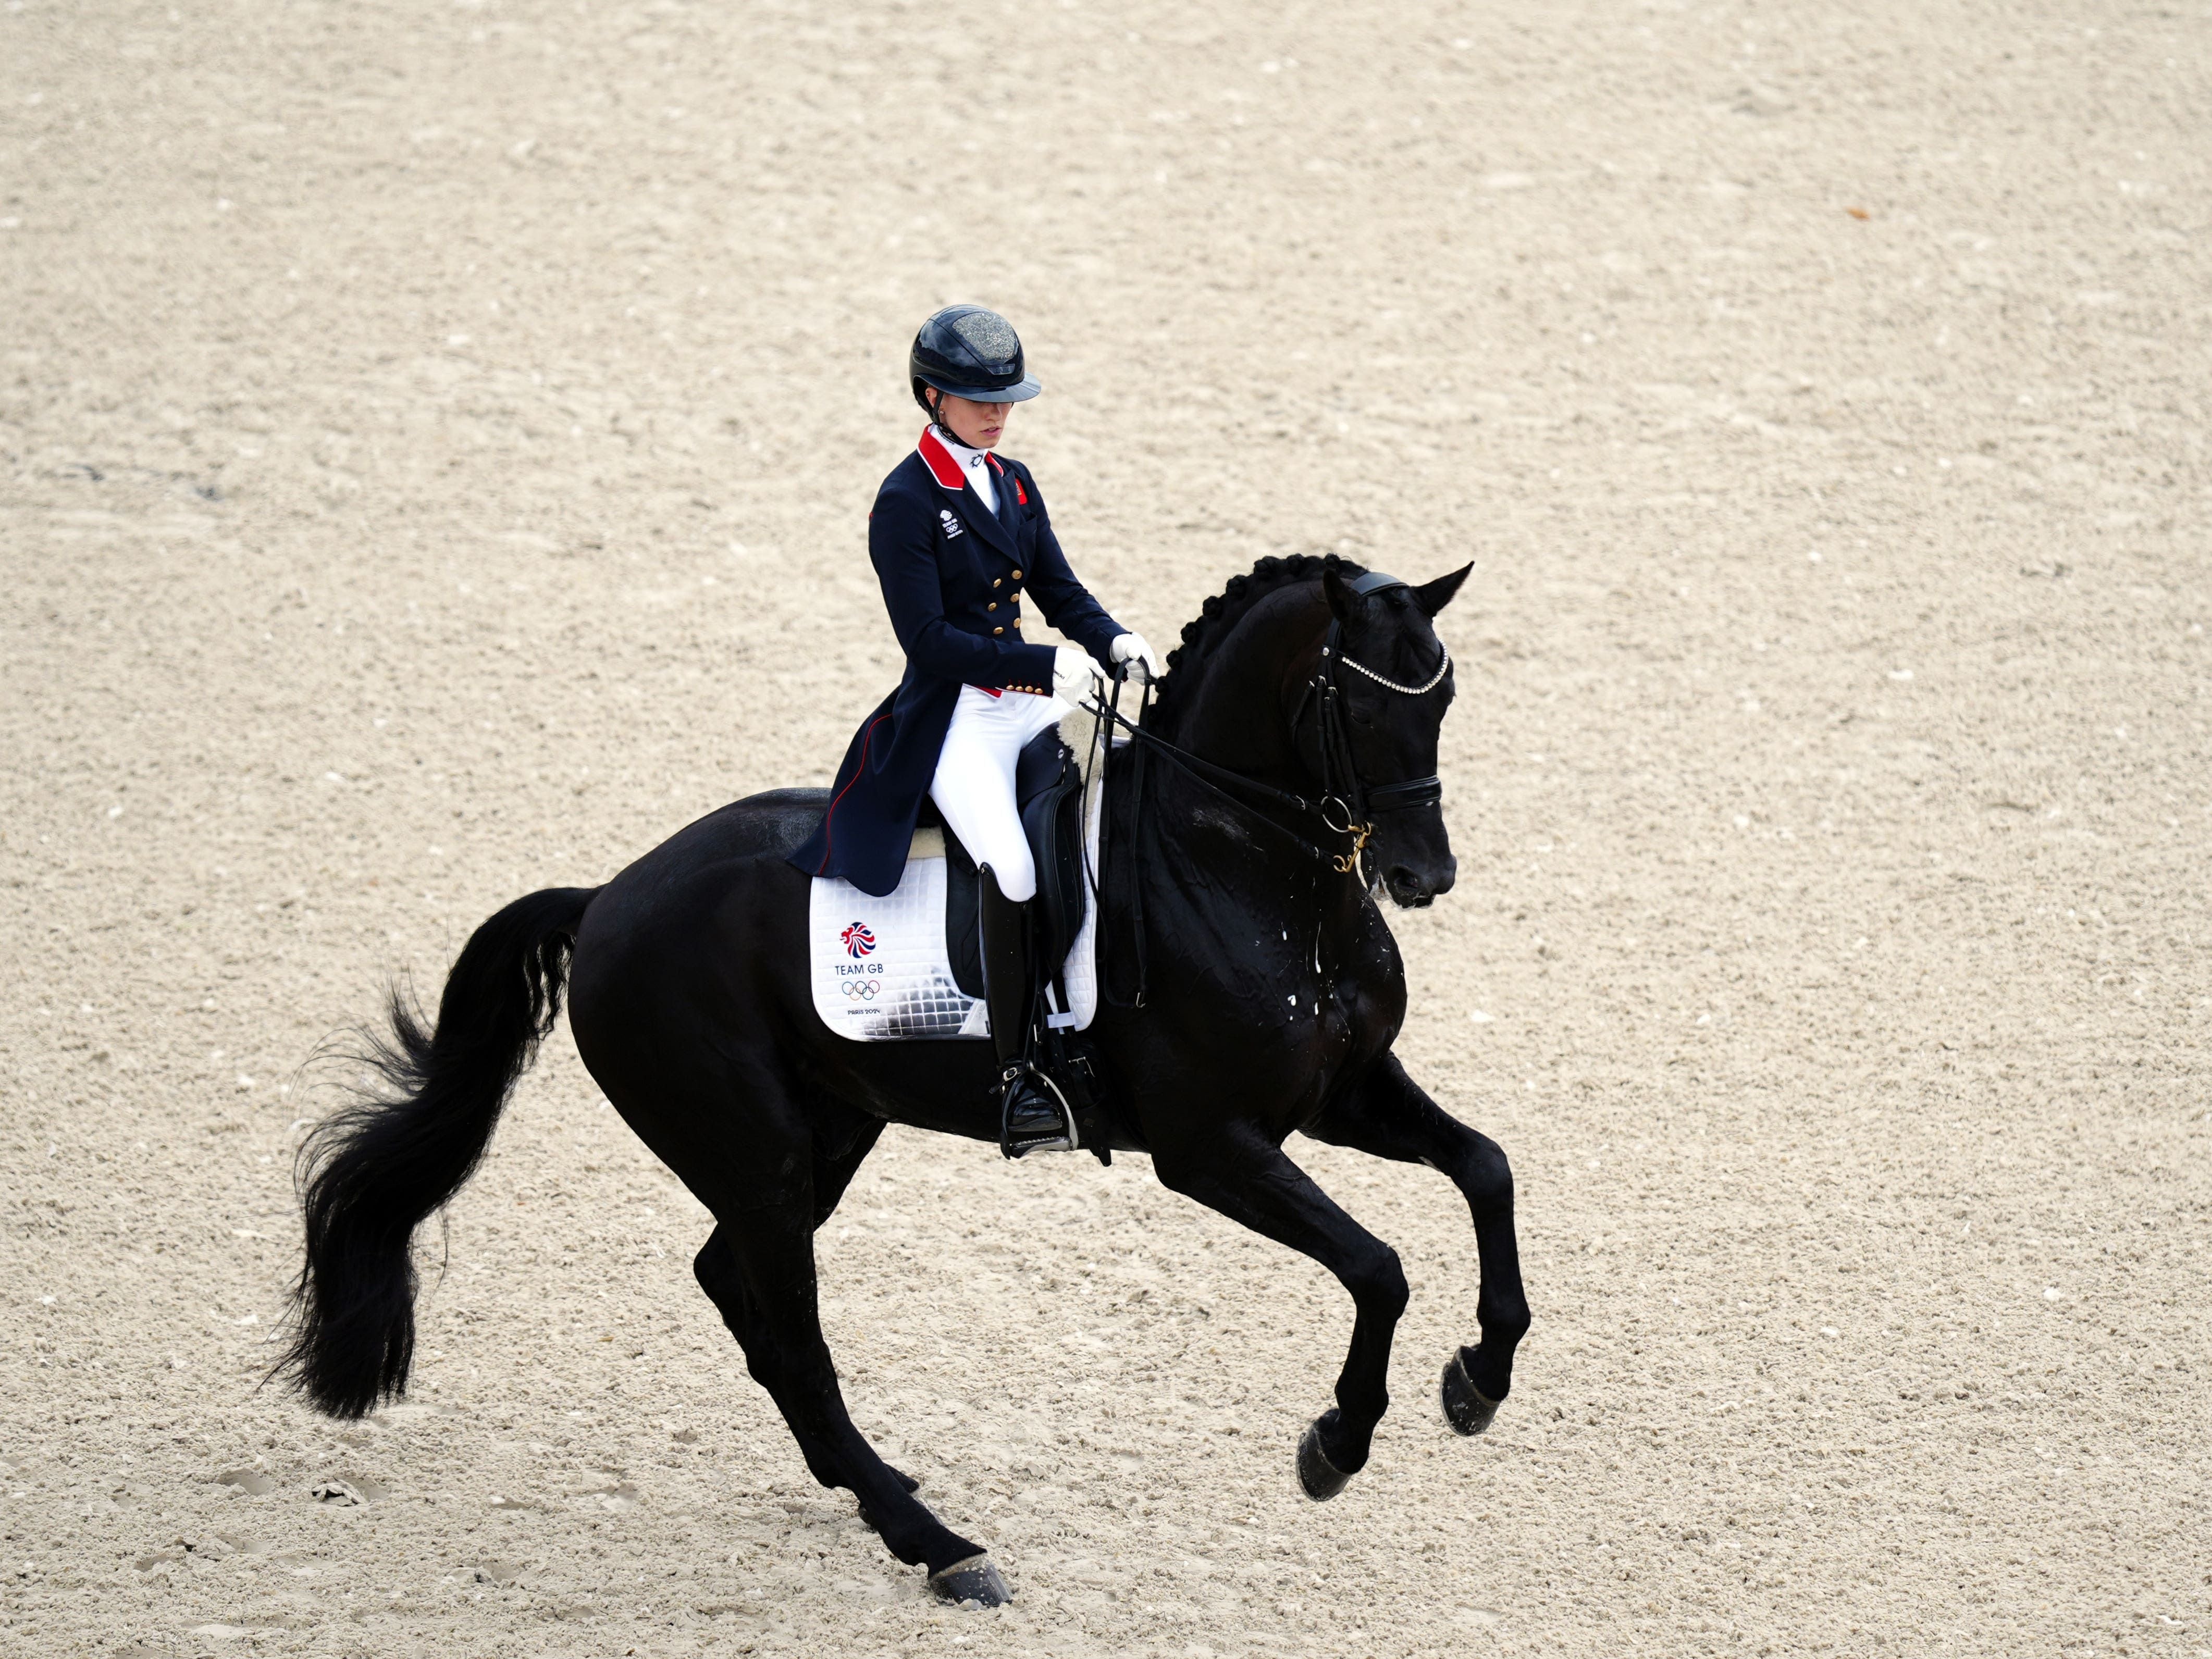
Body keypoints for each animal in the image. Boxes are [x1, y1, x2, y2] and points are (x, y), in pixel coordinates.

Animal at [276, 560, 1530, 1610]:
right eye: (1357, 705)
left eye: (1443, 696)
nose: (1423, 874)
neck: (1248, 869)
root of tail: (609, 900)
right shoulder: (1212, 1145)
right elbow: (1376, 1264)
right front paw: (1337, 1443)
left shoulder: (1339, 1093)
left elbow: (1486, 1168)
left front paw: (1479, 1377)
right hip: (762, 1153)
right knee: (792, 1339)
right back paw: (942, 1546)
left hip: (825, 1133)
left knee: (736, 1286)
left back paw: (881, 1494)